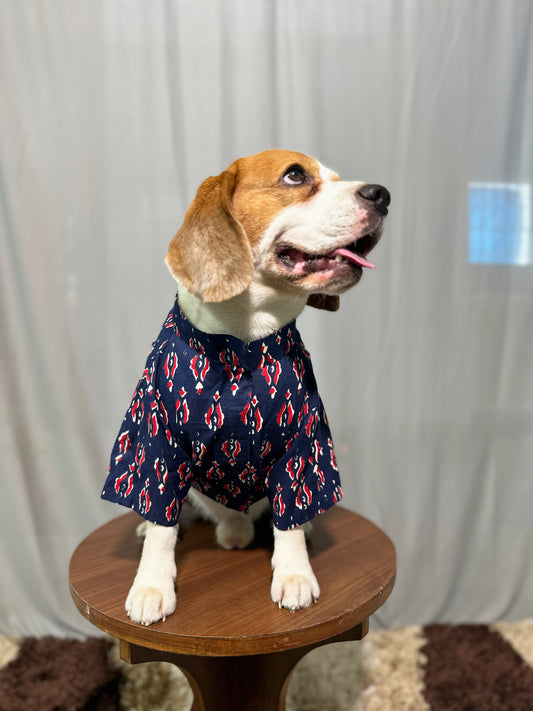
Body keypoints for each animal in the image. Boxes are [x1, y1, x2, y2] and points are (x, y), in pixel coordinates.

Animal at [101, 149, 390, 624]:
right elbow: (161, 518)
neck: (243, 342)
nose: (382, 195)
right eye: (295, 176)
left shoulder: (302, 444)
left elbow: (290, 517)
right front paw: (151, 584)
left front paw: (294, 573)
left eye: (337, 178)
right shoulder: (155, 438)